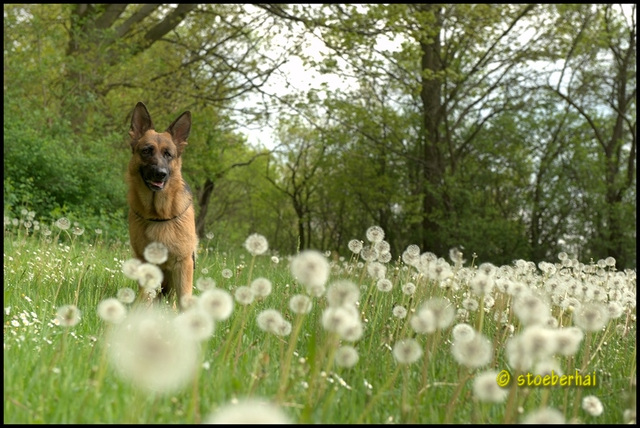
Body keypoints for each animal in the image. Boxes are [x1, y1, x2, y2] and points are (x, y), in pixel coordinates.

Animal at [127, 101, 198, 306]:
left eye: (168, 154)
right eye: (146, 150)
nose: (160, 174)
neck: (158, 215)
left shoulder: (184, 263)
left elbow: (184, 301)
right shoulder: (145, 262)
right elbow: (144, 296)